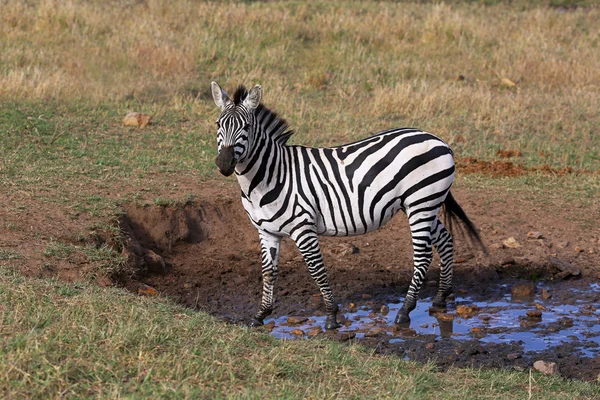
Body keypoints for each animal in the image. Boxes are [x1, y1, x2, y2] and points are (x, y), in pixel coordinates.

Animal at [210, 83, 482, 330]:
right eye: (218, 125)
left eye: (246, 127)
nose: (224, 164)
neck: (270, 176)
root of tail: (437, 139)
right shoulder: (266, 231)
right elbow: (268, 272)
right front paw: (260, 314)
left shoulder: (303, 228)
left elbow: (317, 269)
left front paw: (331, 316)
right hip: (422, 205)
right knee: (445, 239)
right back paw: (440, 298)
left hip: (421, 203)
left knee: (423, 256)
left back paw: (405, 312)